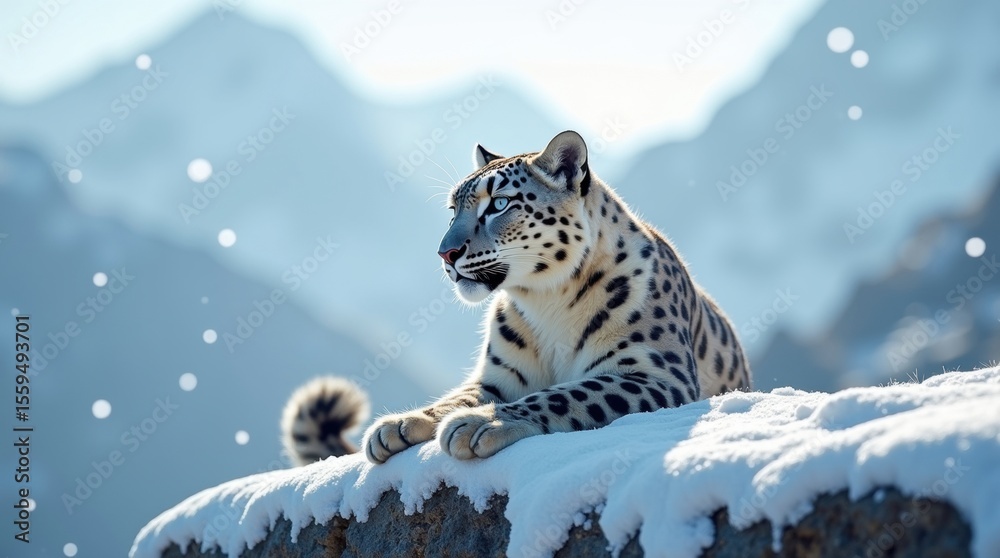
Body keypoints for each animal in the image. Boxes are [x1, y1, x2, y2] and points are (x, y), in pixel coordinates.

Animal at [281, 131, 750, 466]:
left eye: (500, 203)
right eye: (453, 209)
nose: (445, 253)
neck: (548, 301)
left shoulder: (655, 373)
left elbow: (570, 393)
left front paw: (481, 423)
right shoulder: (500, 376)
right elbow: (457, 396)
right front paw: (400, 425)